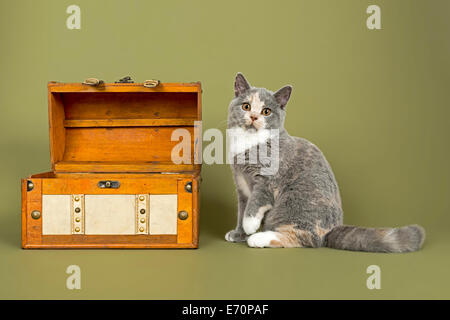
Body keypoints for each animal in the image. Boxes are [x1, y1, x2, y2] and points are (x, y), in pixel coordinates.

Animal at [225, 73, 426, 252]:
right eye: (246, 106)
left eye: (266, 111)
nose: (253, 117)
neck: (249, 144)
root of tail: (332, 230)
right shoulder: (241, 186)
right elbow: (242, 210)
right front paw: (238, 233)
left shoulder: (268, 179)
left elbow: (255, 203)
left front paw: (249, 226)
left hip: (294, 202)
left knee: (308, 238)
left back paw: (259, 238)